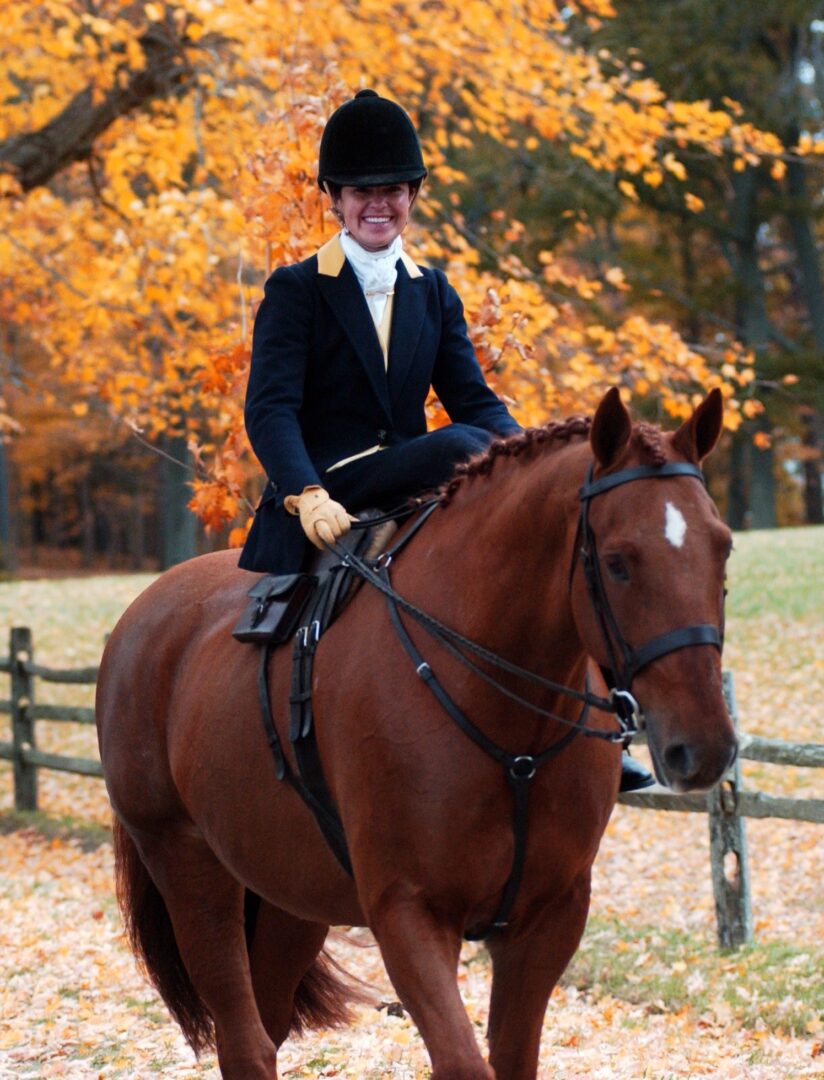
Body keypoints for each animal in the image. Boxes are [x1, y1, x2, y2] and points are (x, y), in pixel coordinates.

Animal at [95, 390, 734, 1080]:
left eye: (723, 549)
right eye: (617, 562)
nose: (705, 747)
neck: (508, 724)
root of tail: (143, 613)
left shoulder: (549, 917)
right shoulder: (408, 913)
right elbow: (463, 1061)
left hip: (292, 895)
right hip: (189, 868)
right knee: (244, 1041)